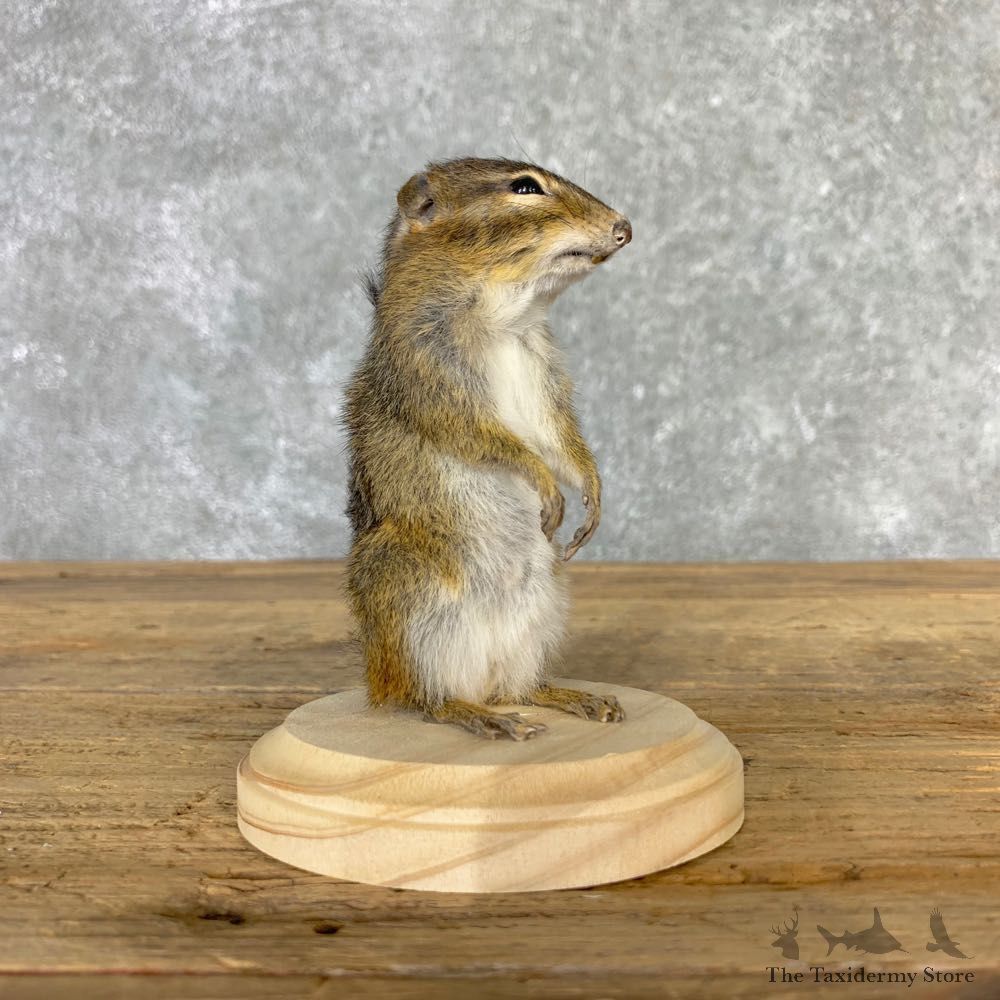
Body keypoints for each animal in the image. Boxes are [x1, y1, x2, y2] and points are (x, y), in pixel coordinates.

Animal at [344, 157, 632, 740]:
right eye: (524, 187)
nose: (625, 228)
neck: (504, 320)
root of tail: (483, 679)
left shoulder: (543, 385)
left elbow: (562, 441)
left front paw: (592, 494)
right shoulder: (430, 378)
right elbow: (486, 438)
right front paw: (544, 485)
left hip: (541, 611)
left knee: (521, 689)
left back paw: (575, 698)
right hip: (410, 609)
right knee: (423, 700)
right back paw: (478, 717)